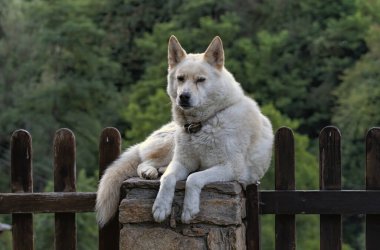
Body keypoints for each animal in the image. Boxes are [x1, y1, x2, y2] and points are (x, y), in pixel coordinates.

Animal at [95, 36, 274, 227]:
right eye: (180, 78)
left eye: (200, 80)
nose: (184, 97)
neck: (202, 123)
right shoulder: (182, 162)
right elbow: (168, 179)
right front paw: (161, 207)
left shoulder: (231, 169)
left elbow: (193, 178)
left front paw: (189, 209)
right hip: (170, 145)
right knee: (144, 162)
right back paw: (149, 172)